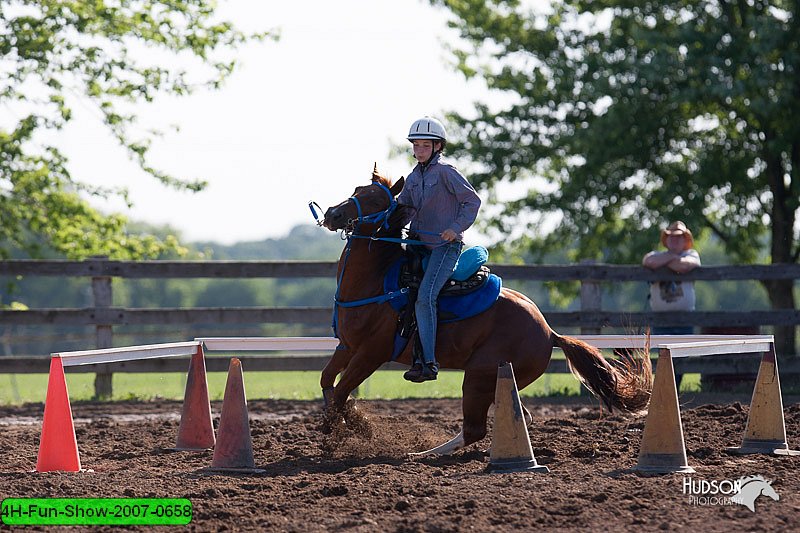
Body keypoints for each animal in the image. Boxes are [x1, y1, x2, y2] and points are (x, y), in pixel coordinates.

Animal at [318, 166, 648, 454]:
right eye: (357, 190)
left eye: (376, 200)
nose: (332, 214)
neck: (378, 280)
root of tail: (549, 332)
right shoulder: (347, 347)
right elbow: (328, 382)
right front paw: (352, 423)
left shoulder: (371, 354)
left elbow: (341, 392)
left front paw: (341, 432)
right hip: (497, 380)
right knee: (518, 416)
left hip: (479, 376)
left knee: (474, 429)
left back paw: (423, 454)